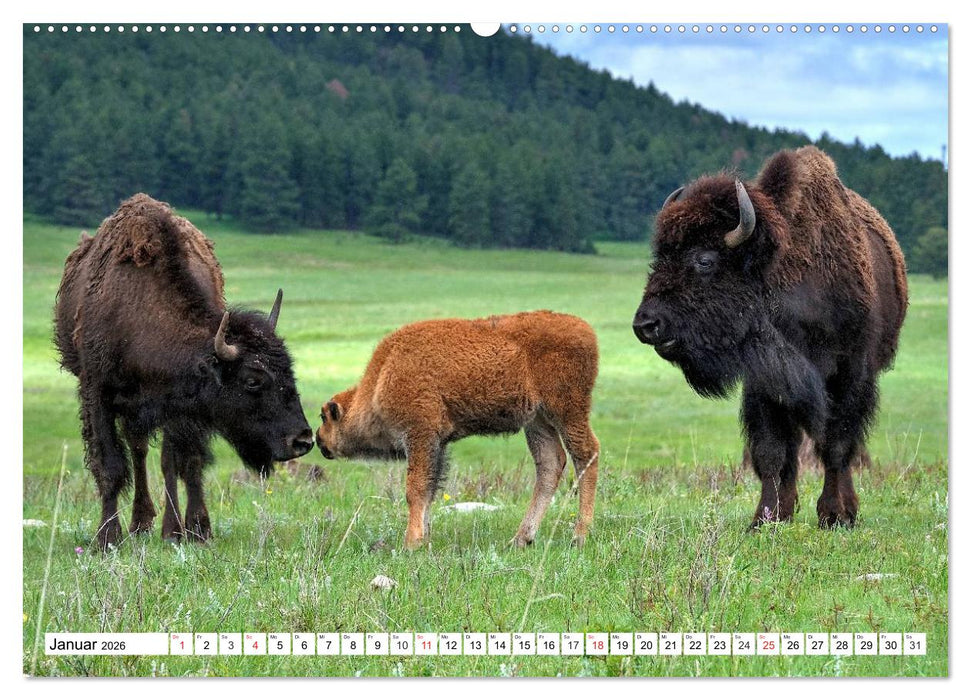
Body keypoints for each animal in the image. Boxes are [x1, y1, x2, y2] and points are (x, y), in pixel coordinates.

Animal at [54, 194, 314, 549]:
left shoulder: (183, 409)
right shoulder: (97, 394)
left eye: (290, 372)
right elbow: (110, 466)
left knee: (159, 457)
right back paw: (139, 524)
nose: (302, 440)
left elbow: (181, 464)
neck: (140, 313)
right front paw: (106, 538)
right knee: (137, 452)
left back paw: (159, 525)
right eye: (252, 381)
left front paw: (190, 530)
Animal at [633, 147, 907, 528]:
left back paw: (846, 510)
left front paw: (833, 514)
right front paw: (766, 518)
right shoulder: (765, 382)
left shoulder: (850, 374)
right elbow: (771, 451)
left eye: (705, 260)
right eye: (659, 258)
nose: (646, 324)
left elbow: (836, 444)